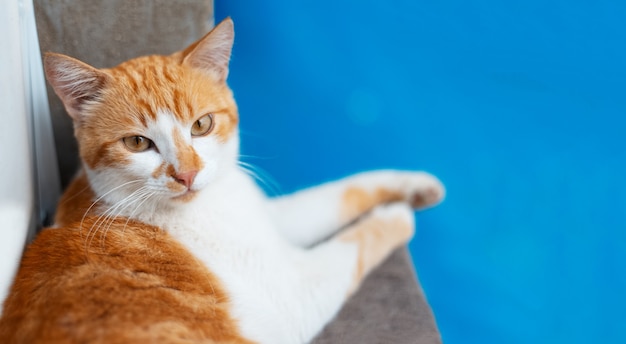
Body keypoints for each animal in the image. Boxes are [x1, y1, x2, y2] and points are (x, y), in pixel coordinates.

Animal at [0, 18, 444, 344]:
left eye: (202, 125)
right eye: (137, 143)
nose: (187, 173)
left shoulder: (271, 217)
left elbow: (338, 193)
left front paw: (416, 184)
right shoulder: (296, 293)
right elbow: (356, 245)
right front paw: (396, 215)